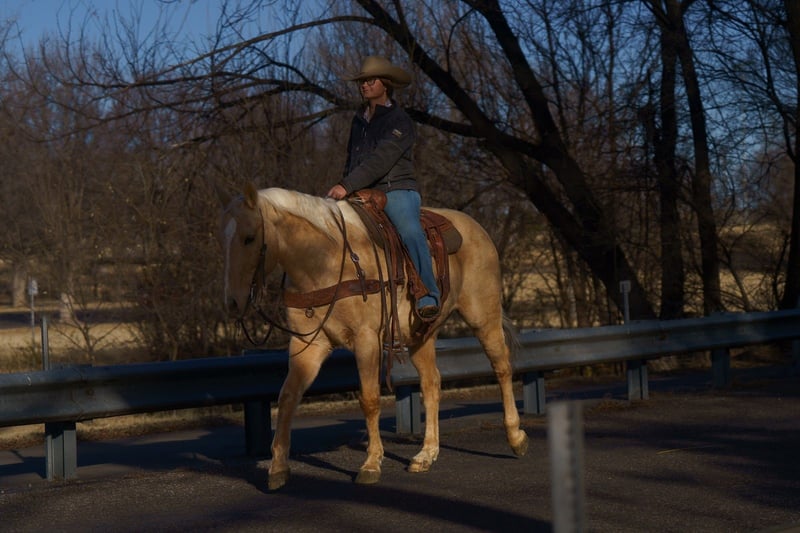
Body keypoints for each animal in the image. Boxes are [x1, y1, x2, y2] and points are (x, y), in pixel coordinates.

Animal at [218, 183, 529, 490]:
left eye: (249, 238)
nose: (232, 303)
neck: (326, 261)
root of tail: (477, 229)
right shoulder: (308, 345)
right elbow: (287, 397)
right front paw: (278, 468)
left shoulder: (366, 340)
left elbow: (369, 399)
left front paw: (371, 464)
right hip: (421, 336)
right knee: (431, 384)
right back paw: (426, 455)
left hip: (483, 317)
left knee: (502, 367)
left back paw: (515, 437)